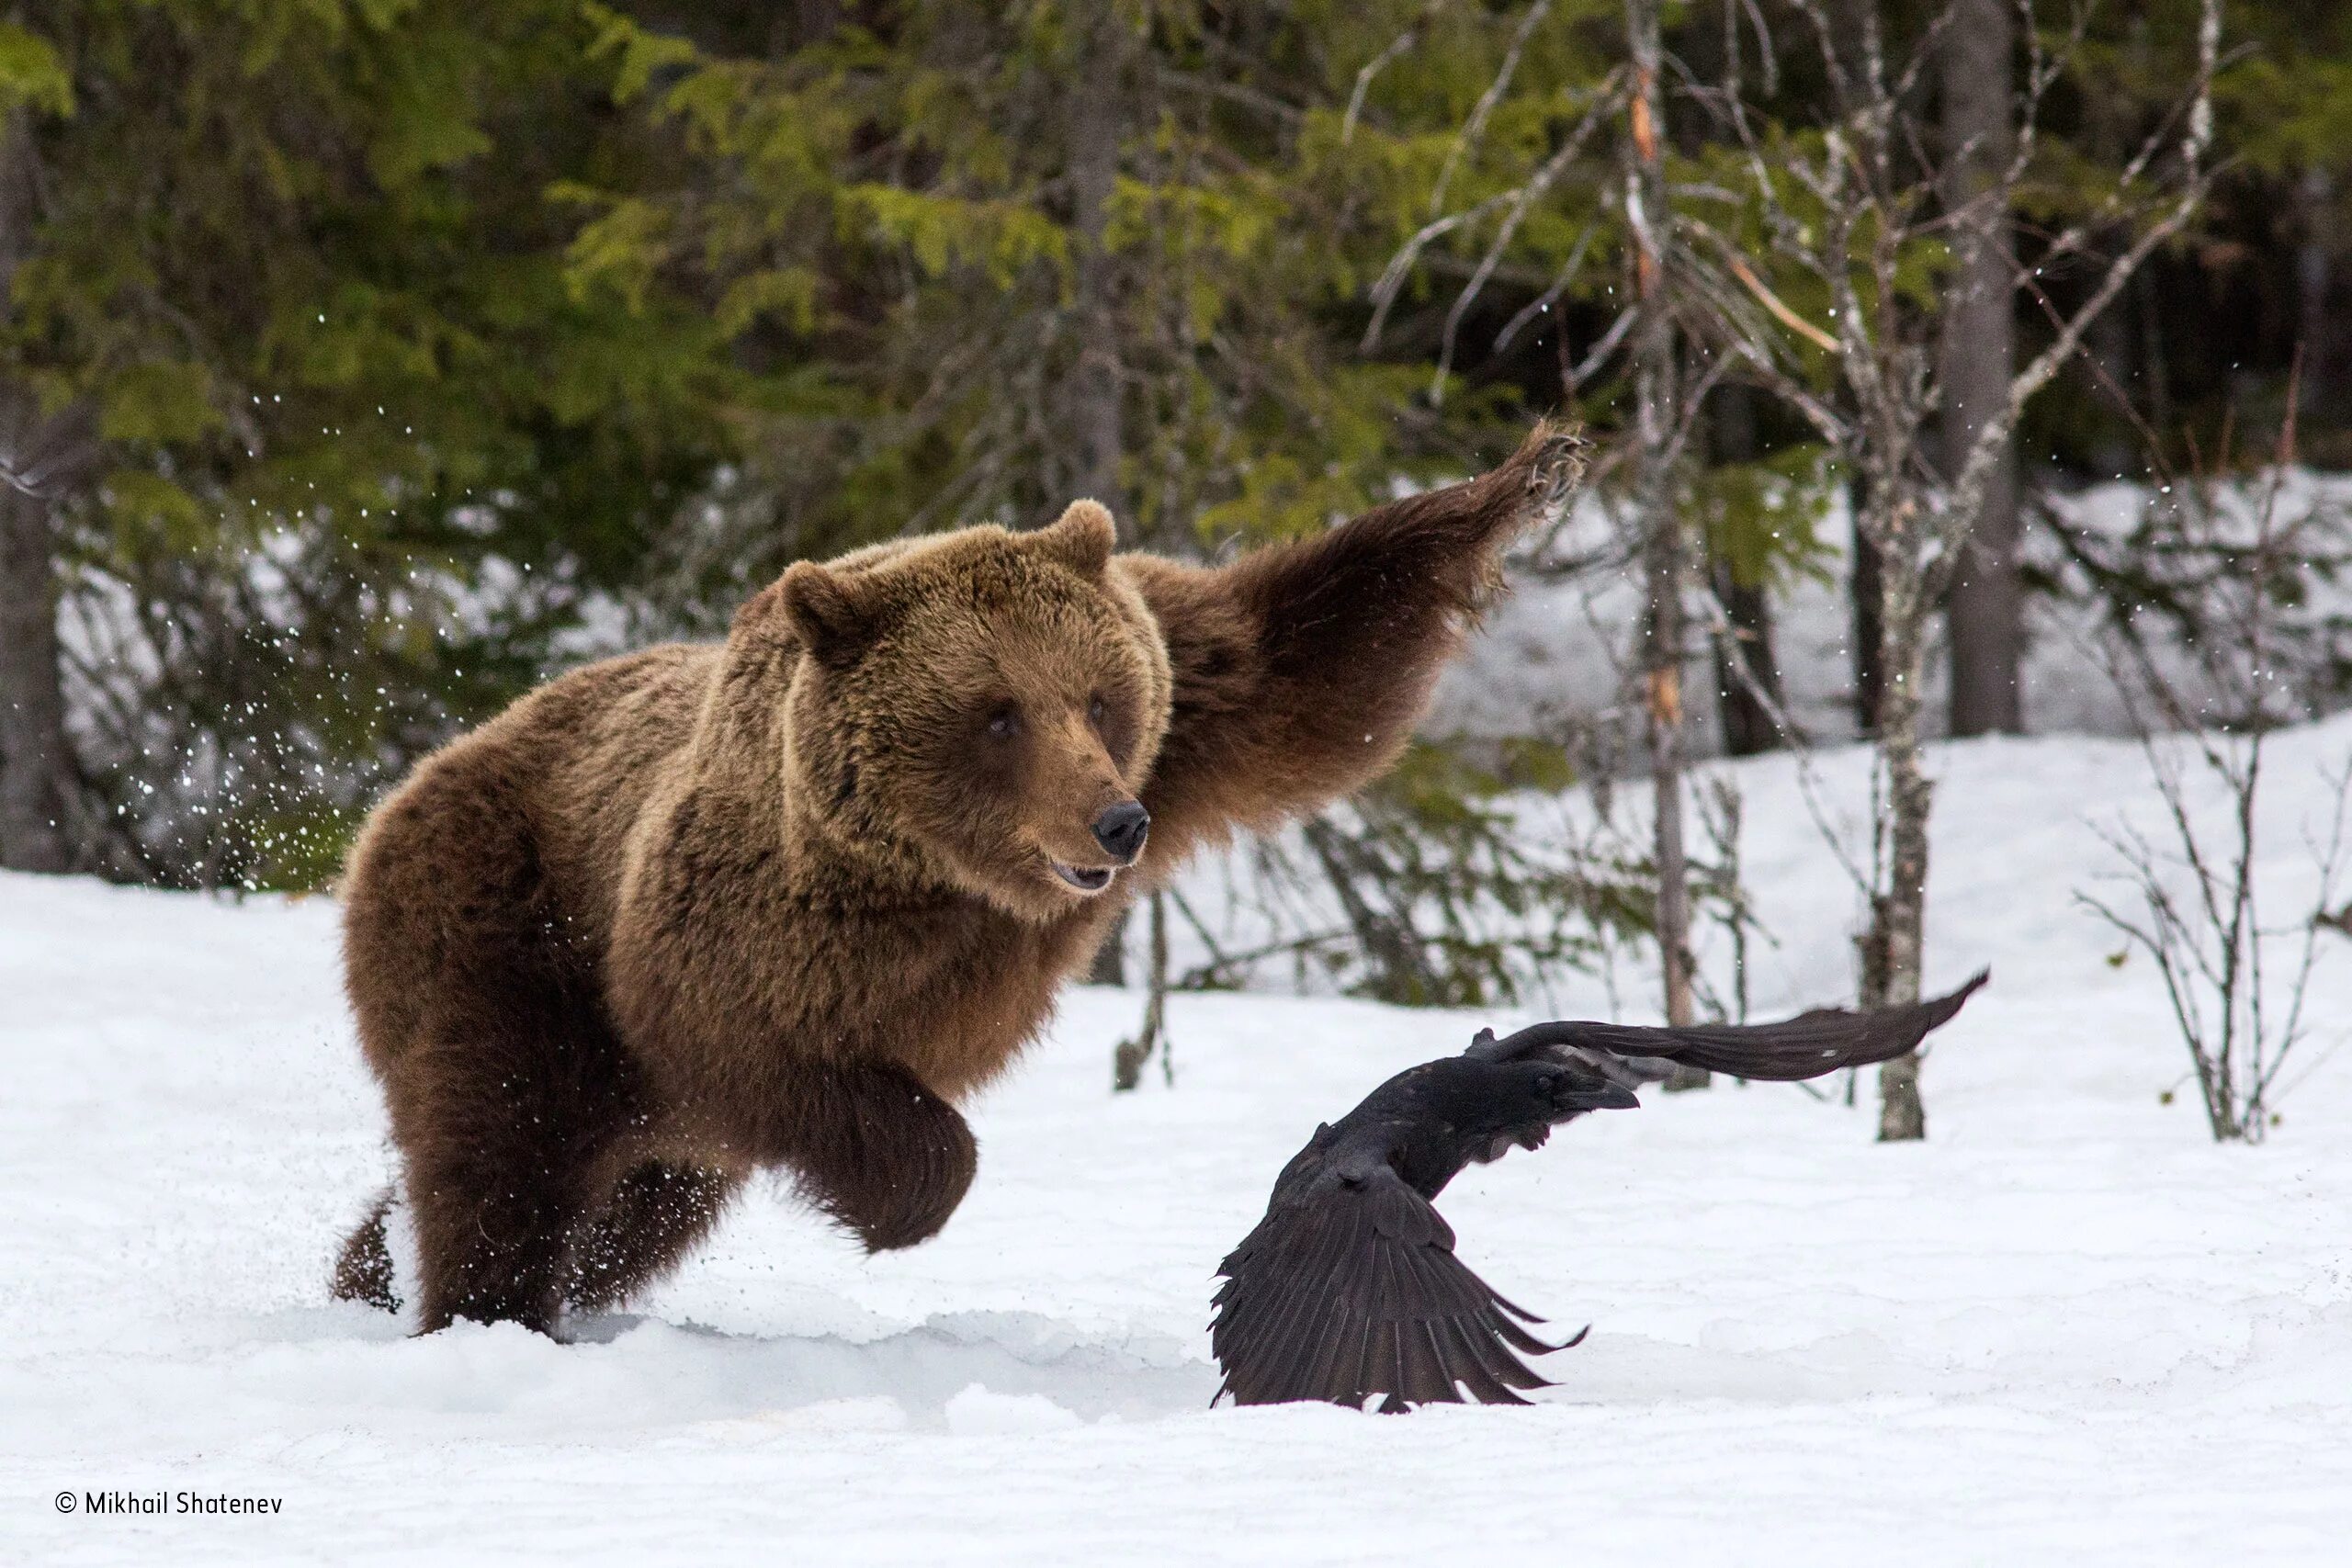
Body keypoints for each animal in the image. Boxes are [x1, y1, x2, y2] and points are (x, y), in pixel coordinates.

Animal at [326, 423, 1580, 1335]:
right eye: (995, 712)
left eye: (1097, 697)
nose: (1118, 822)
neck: (957, 878)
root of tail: (414, 782)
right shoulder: (757, 912)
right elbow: (740, 1030)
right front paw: (906, 1199)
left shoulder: (1188, 711)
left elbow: (1300, 661)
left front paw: (1533, 475)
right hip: (504, 929)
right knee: (504, 1157)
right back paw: (477, 1310)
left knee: (620, 1208)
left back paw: (373, 1266)